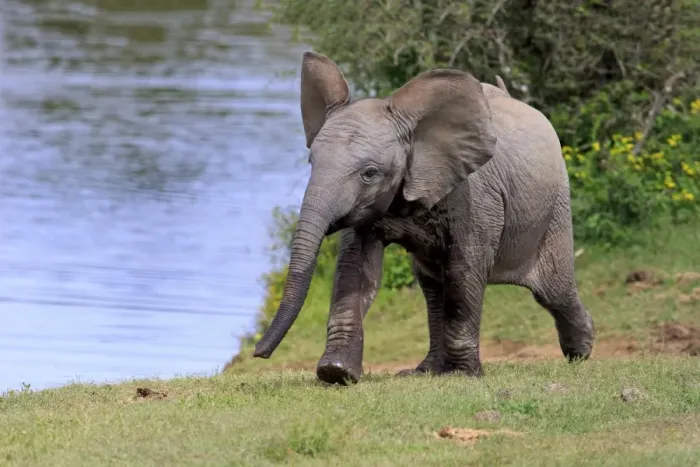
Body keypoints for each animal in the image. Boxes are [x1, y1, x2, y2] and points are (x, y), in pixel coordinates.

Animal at [253, 51, 595, 385]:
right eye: (312, 162)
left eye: (369, 173)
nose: (258, 353)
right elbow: (355, 269)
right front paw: (336, 373)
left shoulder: (475, 197)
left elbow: (465, 269)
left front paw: (463, 376)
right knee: (432, 287)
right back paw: (426, 371)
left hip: (555, 205)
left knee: (553, 288)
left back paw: (581, 351)